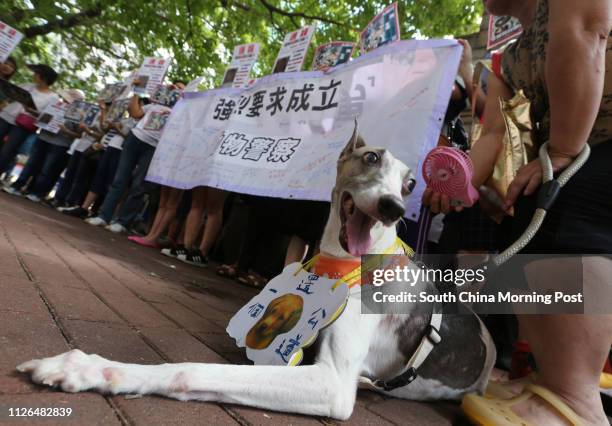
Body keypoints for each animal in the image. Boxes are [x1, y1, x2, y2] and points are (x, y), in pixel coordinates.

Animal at [16, 121, 494, 422]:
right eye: (371, 157)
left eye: (411, 184)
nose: (394, 207)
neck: (342, 269)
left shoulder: (334, 383)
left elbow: (195, 369)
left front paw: (92, 368)